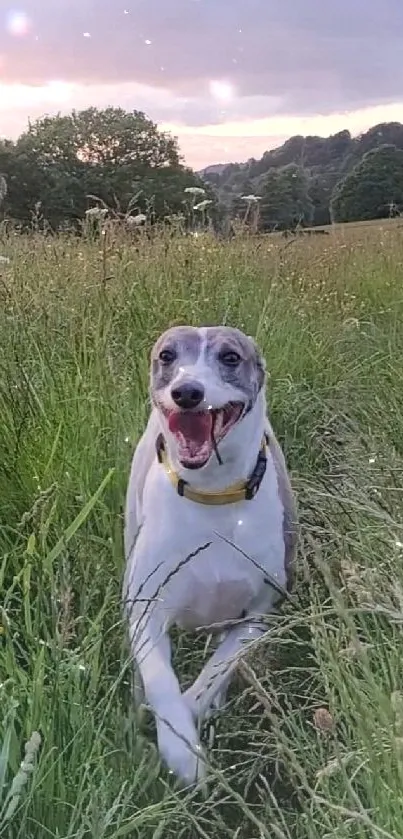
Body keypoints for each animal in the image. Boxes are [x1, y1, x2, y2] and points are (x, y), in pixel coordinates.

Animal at [122, 326, 296, 788]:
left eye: (231, 357)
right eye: (167, 355)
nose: (187, 391)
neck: (214, 495)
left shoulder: (261, 611)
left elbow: (219, 667)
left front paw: (195, 713)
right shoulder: (146, 607)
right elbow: (161, 680)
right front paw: (181, 750)